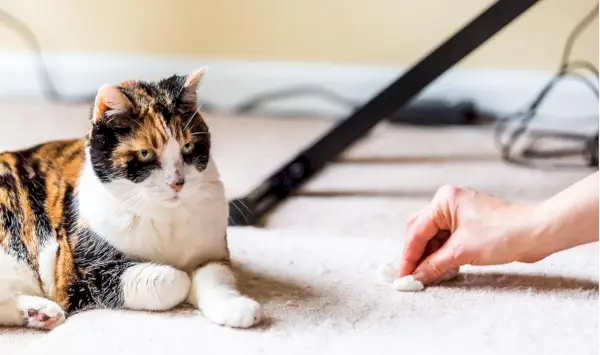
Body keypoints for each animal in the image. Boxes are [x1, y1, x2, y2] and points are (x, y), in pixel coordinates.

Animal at [0, 68, 262, 330]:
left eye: (188, 147)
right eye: (145, 153)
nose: (177, 182)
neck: (165, 216)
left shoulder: (213, 253)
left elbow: (215, 277)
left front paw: (236, 308)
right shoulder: (86, 274)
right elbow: (176, 279)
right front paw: (183, 280)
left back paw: (39, 312)